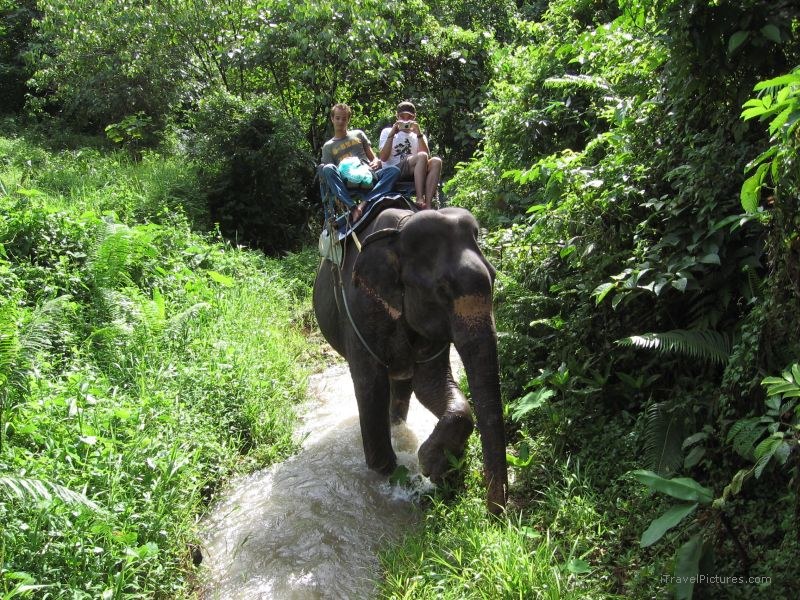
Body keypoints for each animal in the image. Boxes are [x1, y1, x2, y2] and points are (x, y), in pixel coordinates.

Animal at [312, 204, 507, 513]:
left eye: (495, 275)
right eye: (441, 290)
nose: (496, 512)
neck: (400, 233)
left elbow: (430, 383)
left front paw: (432, 464)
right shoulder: (359, 308)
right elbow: (370, 387)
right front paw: (391, 475)